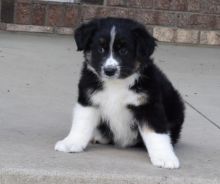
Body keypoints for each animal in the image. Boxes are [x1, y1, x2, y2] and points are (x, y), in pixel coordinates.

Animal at [55, 17, 184, 170]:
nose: (109, 70)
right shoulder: (89, 99)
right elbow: (81, 124)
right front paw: (70, 143)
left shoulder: (148, 105)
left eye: (123, 50)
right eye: (100, 49)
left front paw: (165, 157)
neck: (116, 84)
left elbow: (156, 133)